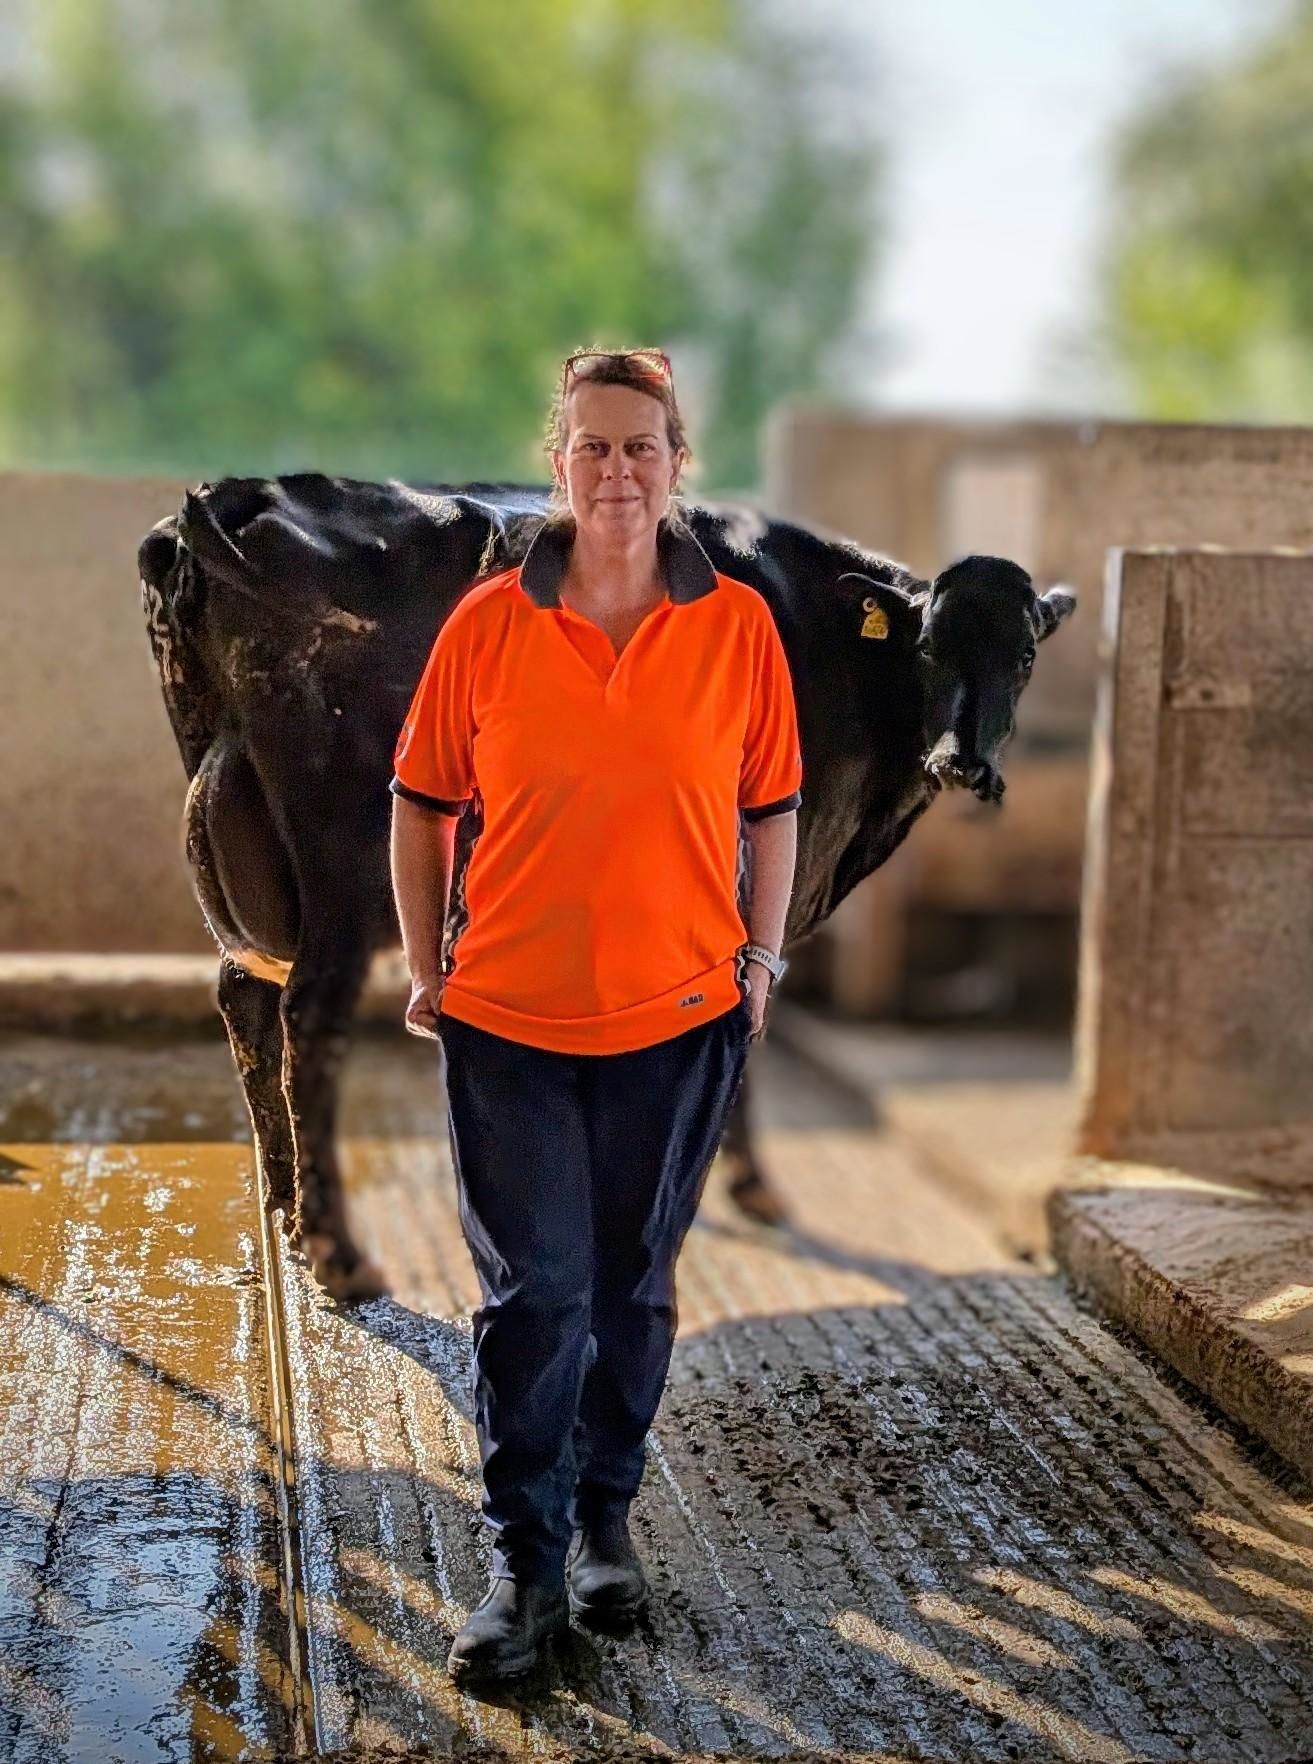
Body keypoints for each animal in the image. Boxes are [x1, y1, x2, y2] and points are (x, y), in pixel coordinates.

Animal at [137, 475, 1075, 1299]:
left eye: (1026, 653)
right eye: (927, 648)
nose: (962, 762)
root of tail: (220, 505)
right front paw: (739, 1188)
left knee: (244, 1001)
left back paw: (285, 1207)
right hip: (343, 871)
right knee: (309, 1023)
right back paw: (337, 1254)